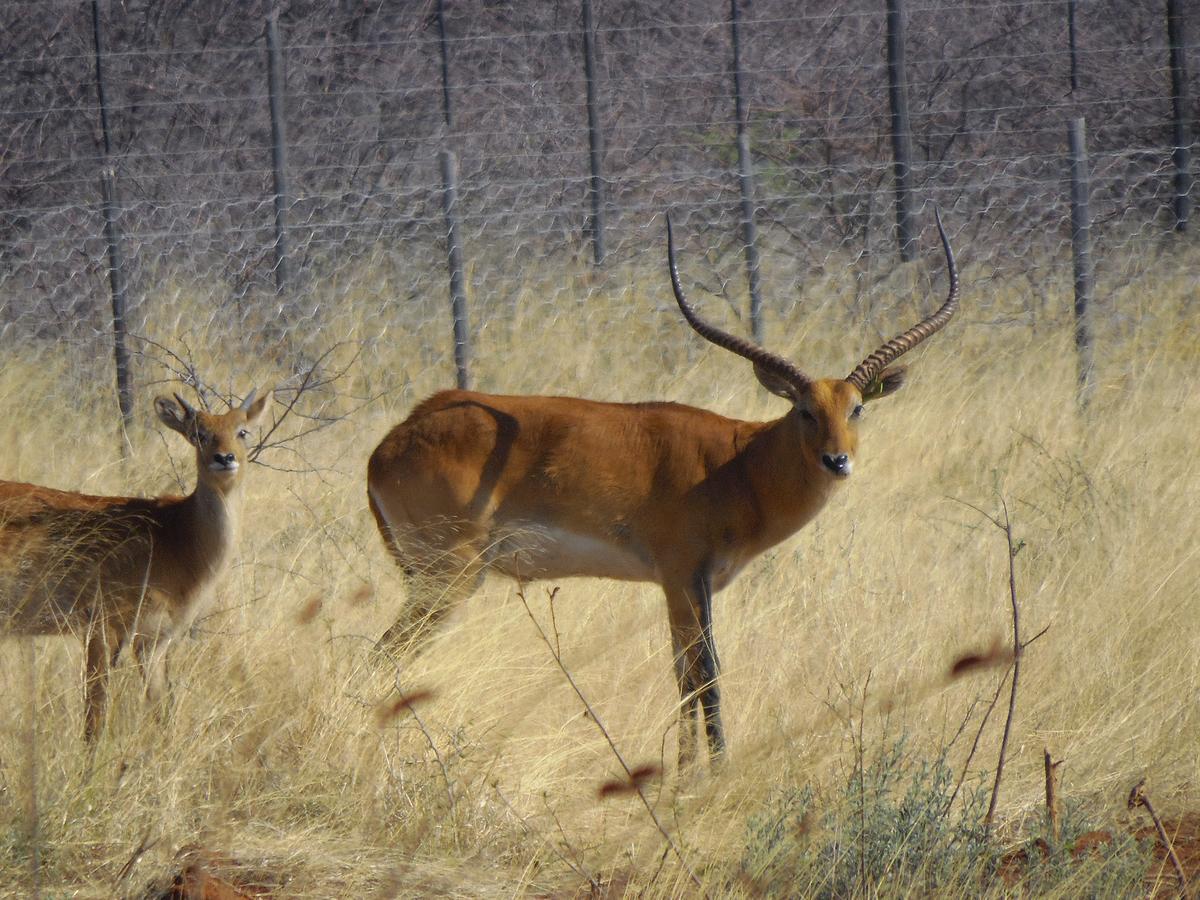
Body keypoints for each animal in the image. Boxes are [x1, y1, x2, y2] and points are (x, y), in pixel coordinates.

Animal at [0, 391, 270, 744]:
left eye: (242, 431)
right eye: (199, 433)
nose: (224, 458)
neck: (175, 536)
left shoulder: (154, 641)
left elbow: (162, 713)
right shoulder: (103, 629)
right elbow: (94, 719)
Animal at [369, 211, 960, 768]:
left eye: (856, 408)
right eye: (805, 411)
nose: (837, 460)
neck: (736, 466)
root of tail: (391, 442)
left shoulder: (680, 587)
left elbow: (683, 678)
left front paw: (683, 772)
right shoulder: (684, 577)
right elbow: (708, 675)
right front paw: (715, 773)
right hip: (449, 579)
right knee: (383, 656)